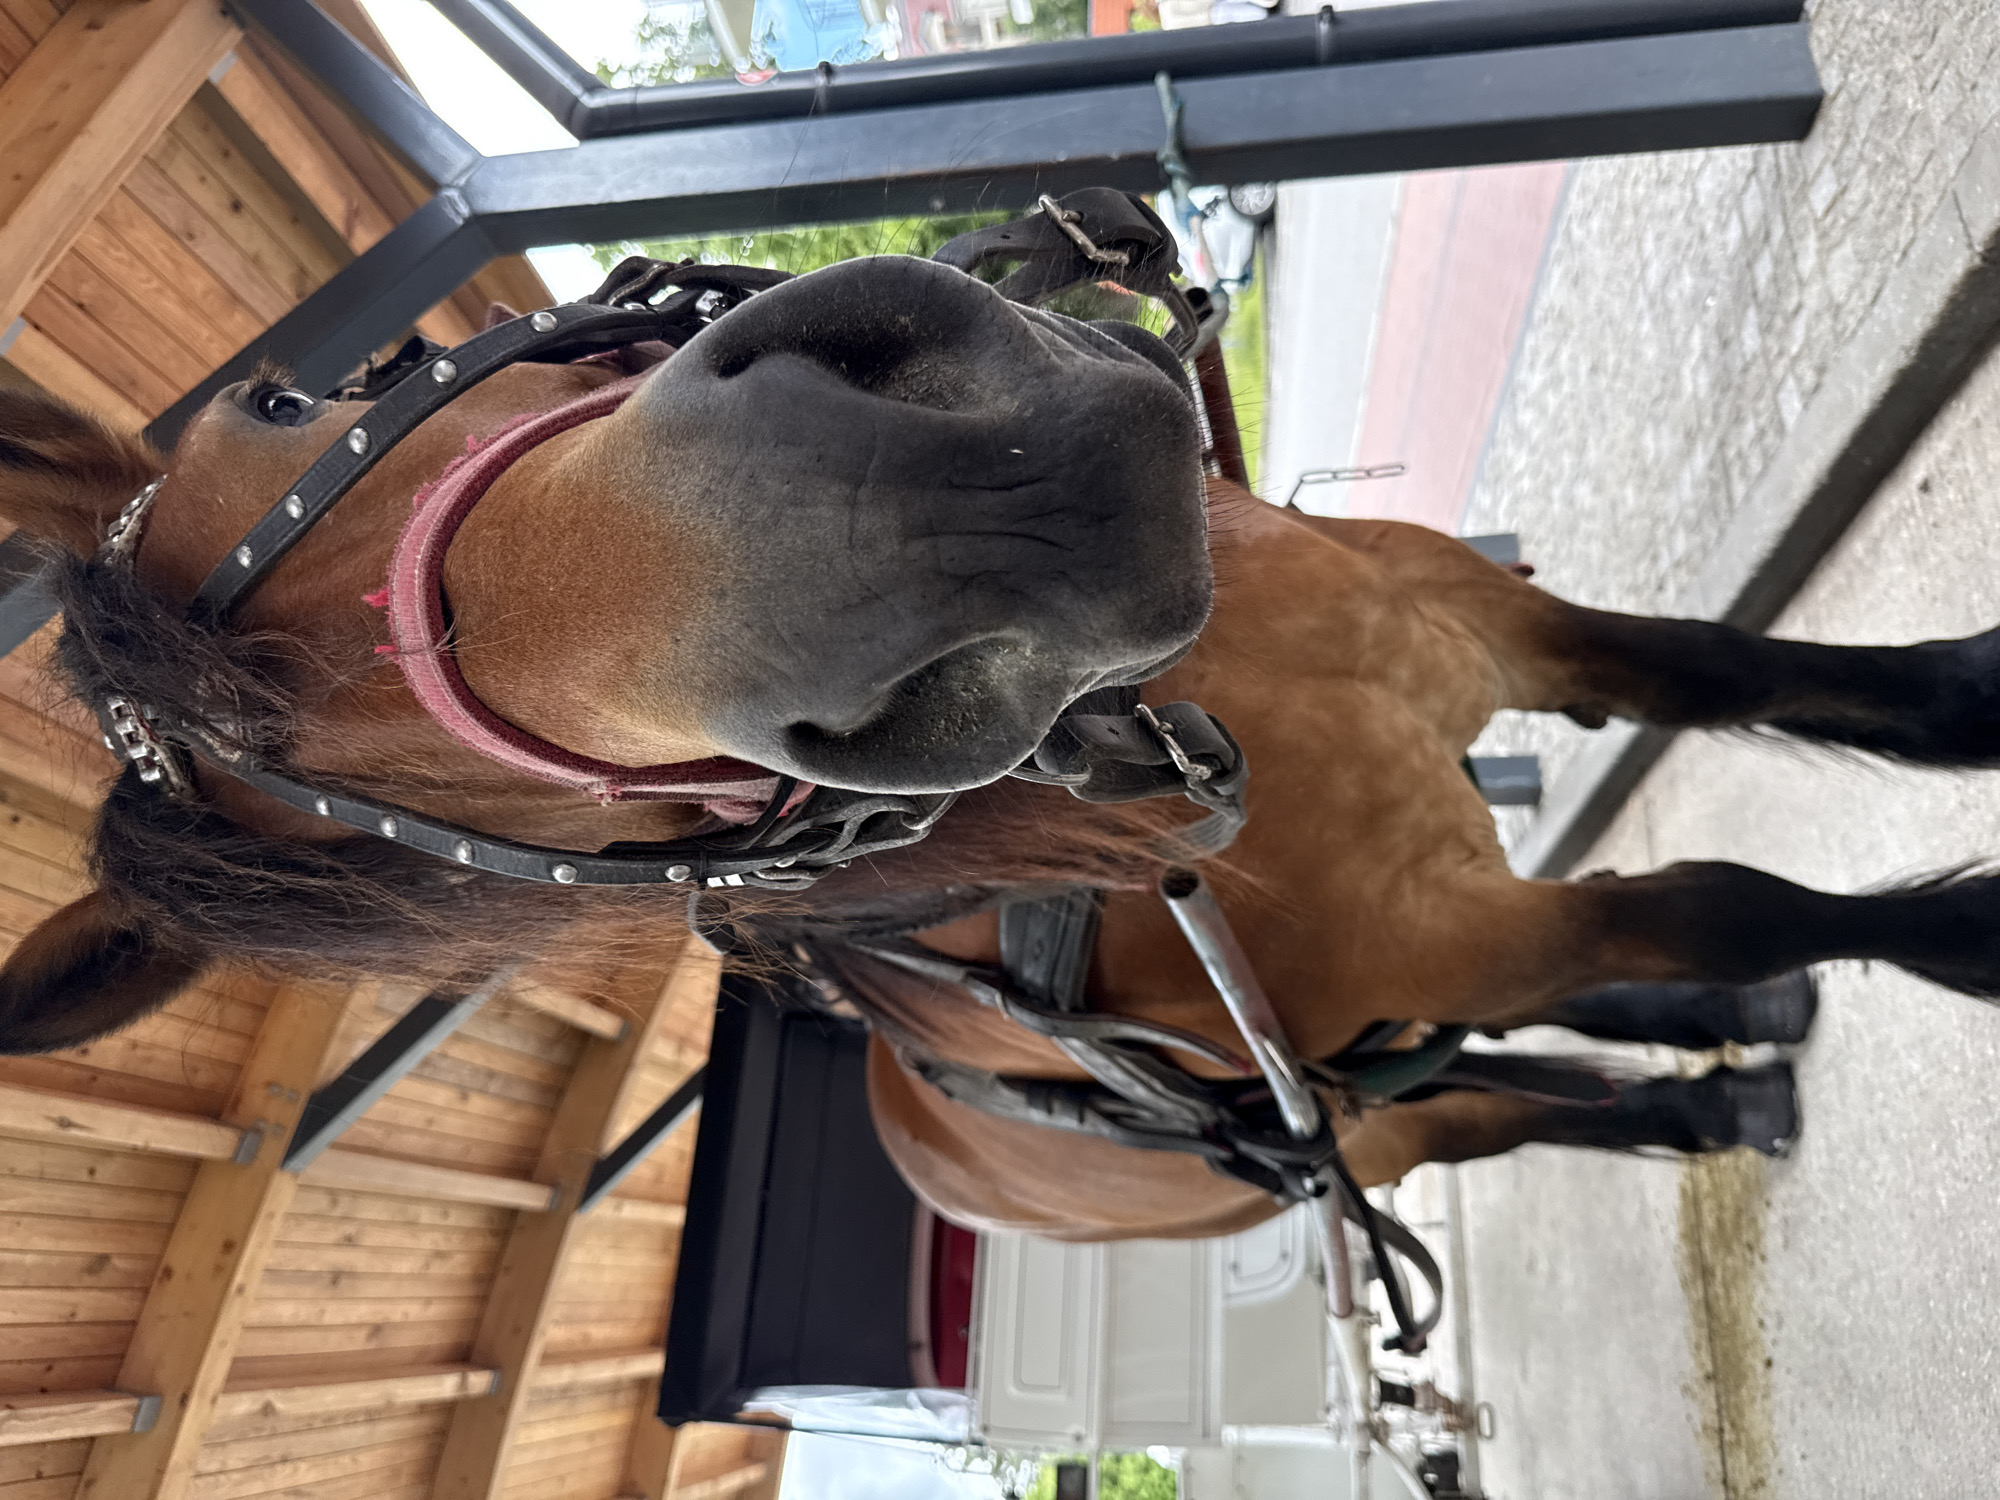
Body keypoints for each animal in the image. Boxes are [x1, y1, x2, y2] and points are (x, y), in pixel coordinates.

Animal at [4, 236, 1999, 1251]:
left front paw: (1963, 691)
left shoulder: (1469, 614)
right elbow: (1727, 895)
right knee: (1515, 1099)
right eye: (427, 848)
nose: (917, 521)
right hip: (1385, 1116)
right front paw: (1946, 946)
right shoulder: (1467, 932)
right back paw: (1727, 1085)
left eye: (287, 399)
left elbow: (1732, 674)